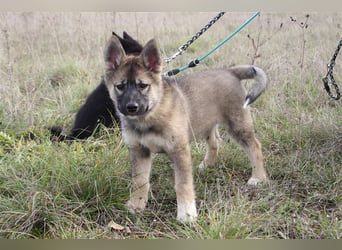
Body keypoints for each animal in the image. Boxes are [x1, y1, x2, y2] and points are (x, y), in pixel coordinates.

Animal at [103, 35, 268, 223]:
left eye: (143, 85)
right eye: (120, 86)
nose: (131, 107)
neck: (150, 116)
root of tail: (230, 71)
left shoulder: (179, 151)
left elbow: (182, 184)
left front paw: (187, 214)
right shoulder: (139, 150)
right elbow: (140, 181)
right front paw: (136, 205)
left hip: (238, 125)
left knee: (255, 146)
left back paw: (258, 177)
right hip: (206, 124)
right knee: (215, 143)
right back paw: (207, 165)